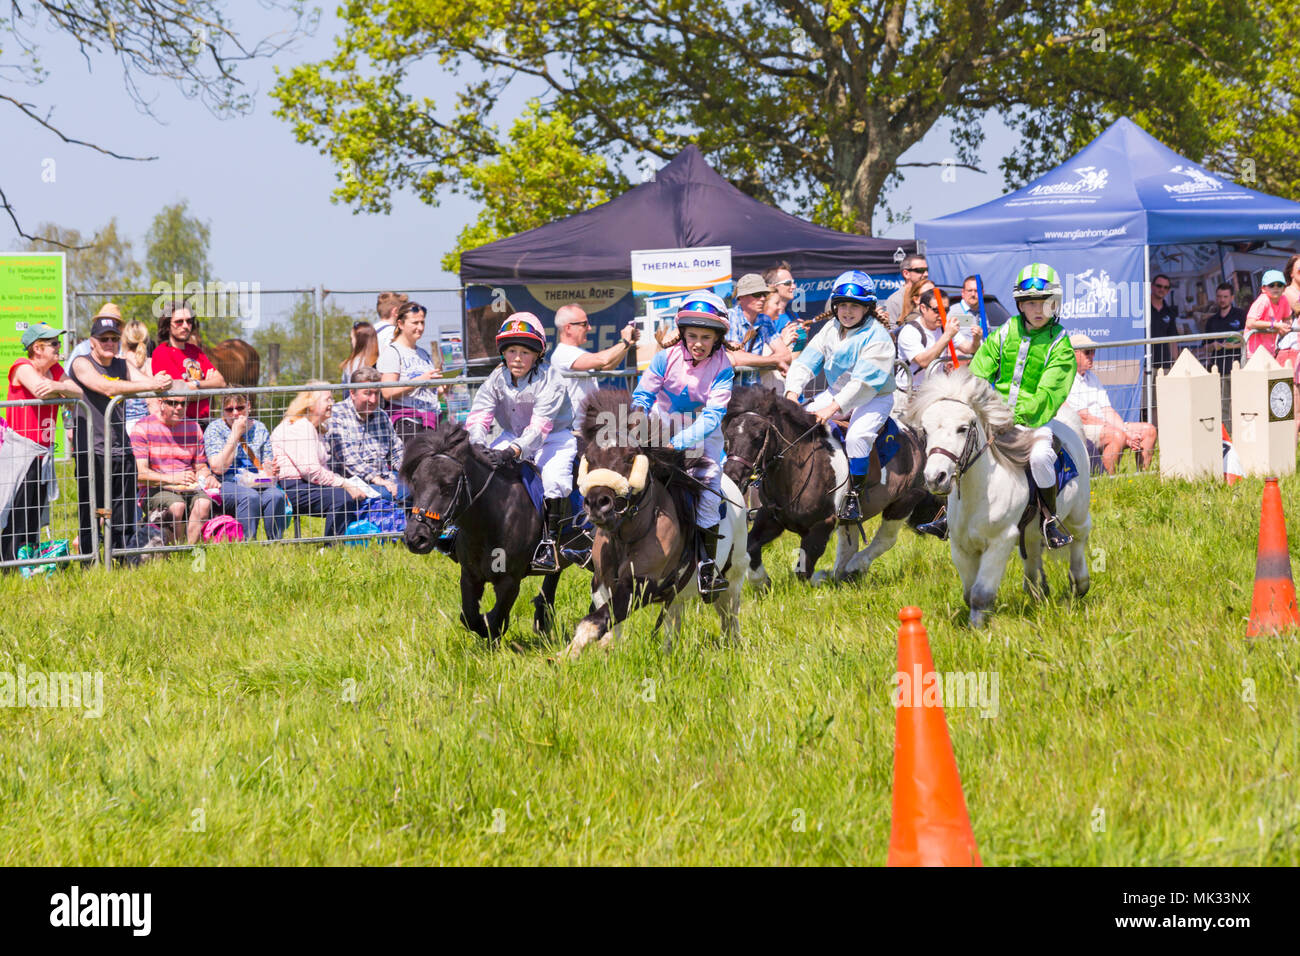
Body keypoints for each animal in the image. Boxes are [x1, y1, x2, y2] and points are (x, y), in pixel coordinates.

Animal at [395, 421, 579, 639]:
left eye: (447, 486)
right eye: (415, 481)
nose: (416, 538)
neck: (489, 523)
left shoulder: (509, 581)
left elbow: (495, 619)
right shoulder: (469, 575)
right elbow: (469, 617)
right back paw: (543, 618)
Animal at [564, 390, 748, 658]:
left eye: (630, 457)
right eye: (589, 456)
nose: (598, 503)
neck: (626, 536)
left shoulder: (642, 582)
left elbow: (596, 620)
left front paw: (565, 655)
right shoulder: (601, 582)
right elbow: (608, 622)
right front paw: (605, 650)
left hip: (732, 577)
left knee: (729, 615)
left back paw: (733, 645)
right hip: (678, 593)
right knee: (674, 619)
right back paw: (670, 652)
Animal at [722, 387, 946, 582]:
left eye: (759, 437)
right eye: (728, 436)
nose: (733, 476)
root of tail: (915, 436)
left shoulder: (822, 525)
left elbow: (804, 571)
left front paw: (818, 580)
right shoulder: (770, 517)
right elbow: (751, 546)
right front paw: (761, 582)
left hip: (903, 503)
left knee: (884, 540)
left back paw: (854, 567)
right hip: (852, 518)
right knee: (849, 545)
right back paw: (842, 575)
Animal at [904, 369, 1097, 629]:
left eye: (962, 428)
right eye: (925, 430)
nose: (936, 477)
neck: (980, 494)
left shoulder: (999, 542)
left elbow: (980, 593)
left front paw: (977, 630)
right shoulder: (961, 546)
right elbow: (969, 593)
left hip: (1078, 512)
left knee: (1079, 536)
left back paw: (1079, 583)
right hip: (1032, 532)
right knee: (1033, 553)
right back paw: (1039, 592)